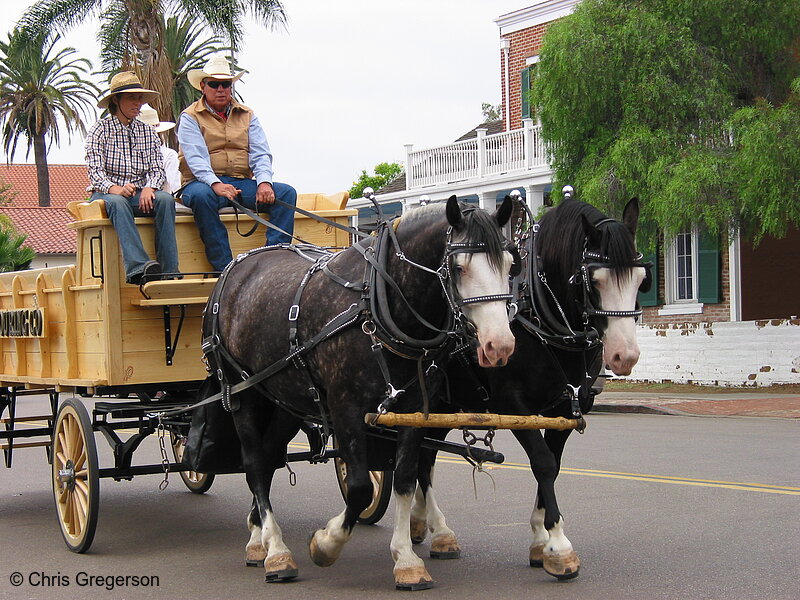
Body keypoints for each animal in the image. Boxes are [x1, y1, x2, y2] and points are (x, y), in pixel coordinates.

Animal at [203, 198, 516, 592]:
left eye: (510, 264)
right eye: (459, 267)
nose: (499, 345)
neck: (378, 304)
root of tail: (236, 265)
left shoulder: (414, 409)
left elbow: (405, 479)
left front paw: (406, 559)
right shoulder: (345, 408)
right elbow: (359, 487)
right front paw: (326, 544)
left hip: (284, 397)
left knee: (271, 454)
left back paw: (257, 532)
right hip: (241, 390)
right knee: (255, 463)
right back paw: (275, 550)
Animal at [410, 197, 648, 580]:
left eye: (641, 279)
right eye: (594, 280)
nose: (624, 355)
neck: (538, 316)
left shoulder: (564, 410)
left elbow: (554, 463)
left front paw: (540, 539)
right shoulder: (513, 405)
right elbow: (543, 463)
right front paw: (559, 546)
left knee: (425, 457)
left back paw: (422, 523)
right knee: (422, 458)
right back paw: (441, 530)